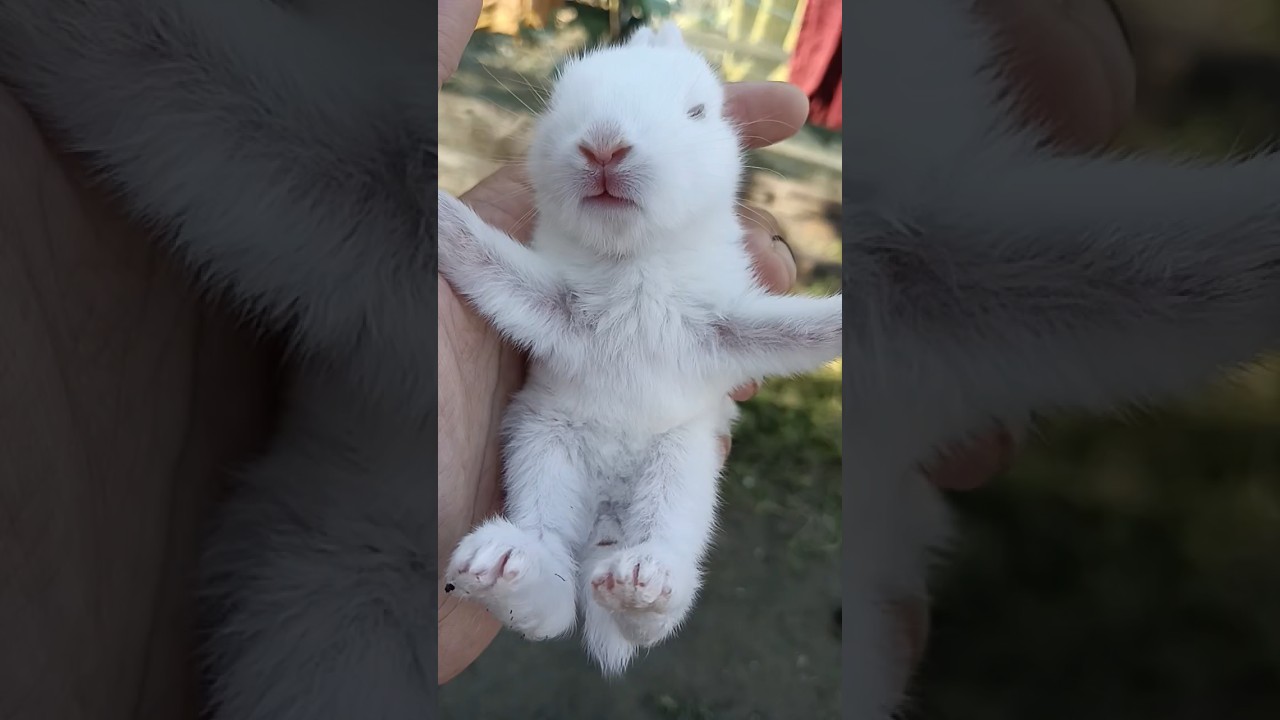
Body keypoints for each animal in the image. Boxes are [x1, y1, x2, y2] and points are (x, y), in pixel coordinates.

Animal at [436, 22, 843, 674]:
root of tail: (606, 517)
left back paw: (640, 583)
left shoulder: (727, 326)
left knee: (653, 597)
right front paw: (437, 207)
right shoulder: (549, 303)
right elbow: (485, 261)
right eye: (559, 102)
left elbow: (800, 330)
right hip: (543, 448)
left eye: (698, 112)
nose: (603, 146)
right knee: (553, 591)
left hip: (681, 469)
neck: (635, 267)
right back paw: (502, 564)